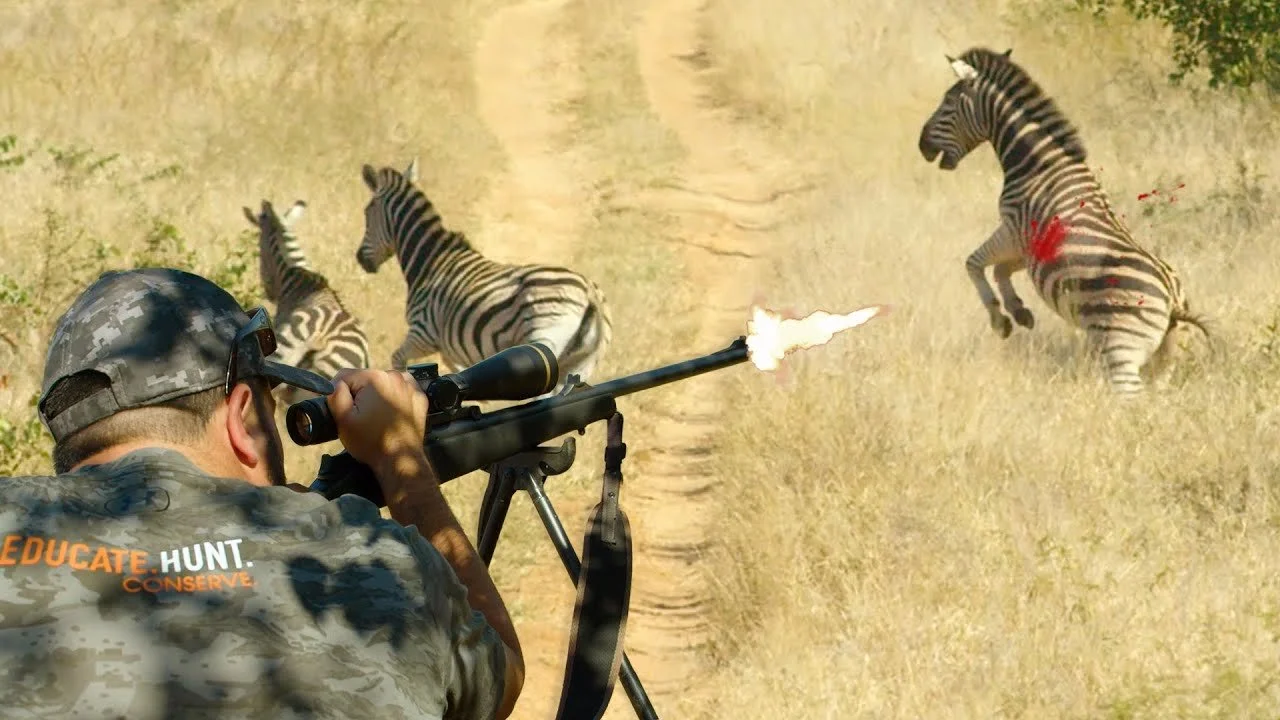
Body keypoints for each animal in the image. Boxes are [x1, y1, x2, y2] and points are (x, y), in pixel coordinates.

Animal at [354, 159, 613, 390]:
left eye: (366, 213)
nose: (360, 259)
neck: (431, 260)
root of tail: (590, 293)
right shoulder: (447, 345)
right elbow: (456, 368)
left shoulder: (423, 332)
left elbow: (398, 358)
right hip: (580, 363)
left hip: (543, 339)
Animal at [917, 47, 1207, 395]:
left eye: (947, 103)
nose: (921, 145)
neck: (1039, 164)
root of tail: (1174, 300)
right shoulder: (1029, 248)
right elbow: (1000, 270)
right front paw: (1019, 311)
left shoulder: (1014, 229)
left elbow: (974, 262)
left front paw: (1000, 320)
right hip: (1163, 363)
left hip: (1121, 348)